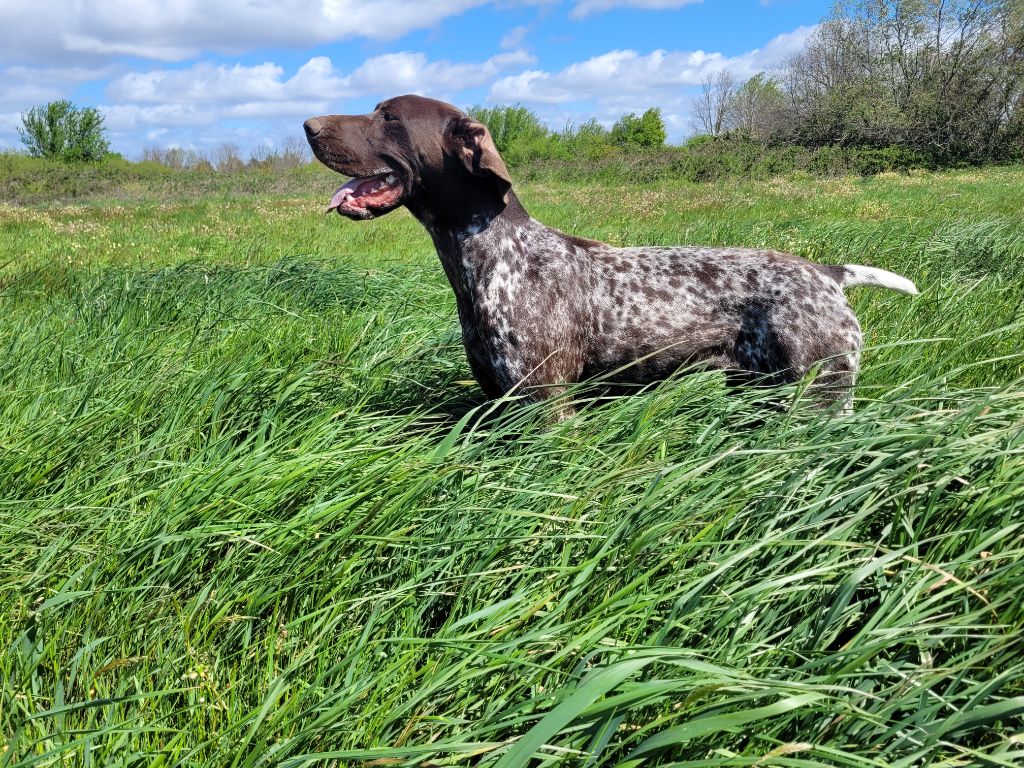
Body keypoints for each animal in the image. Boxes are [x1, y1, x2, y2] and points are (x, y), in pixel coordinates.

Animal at [303, 96, 921, 421]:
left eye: (388, 117)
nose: (308, 124)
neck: (491, 255)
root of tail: (827, 273)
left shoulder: (546, 405)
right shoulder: (499, 400)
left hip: (820, 397)